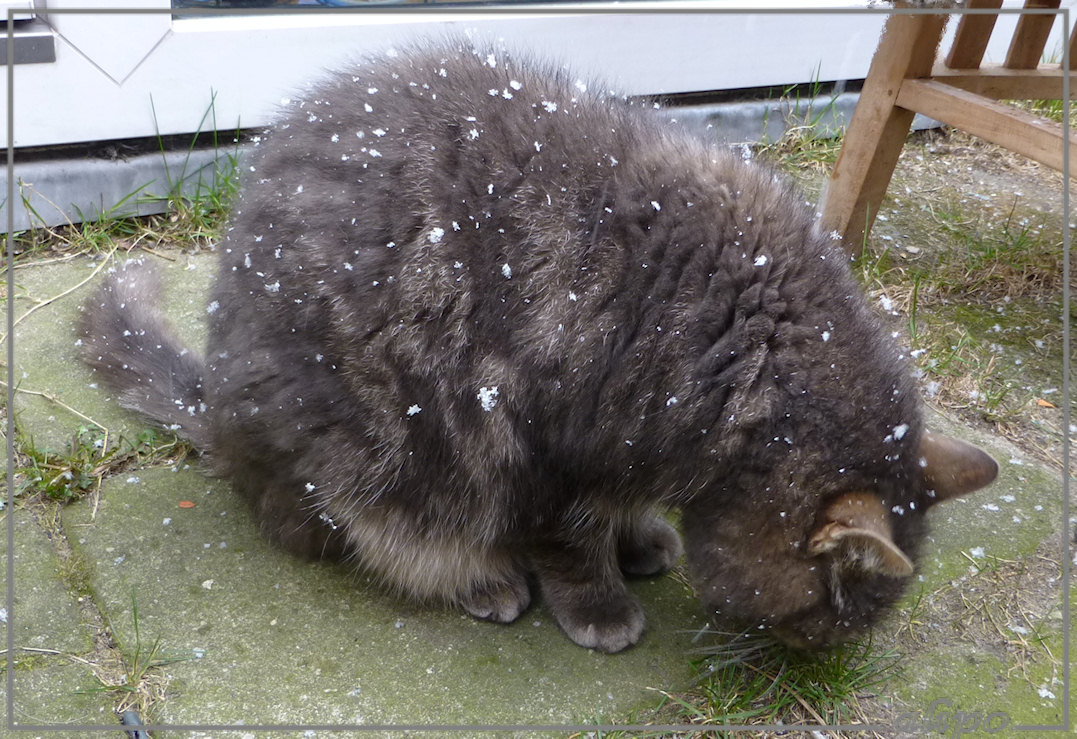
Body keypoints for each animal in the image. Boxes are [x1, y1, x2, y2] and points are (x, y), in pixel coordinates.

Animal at [79, 43, 995, 654]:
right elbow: (569, 540)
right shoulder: (551, 448)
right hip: (376, 463)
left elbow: (622, 511)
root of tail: (219, 413)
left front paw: (642, 542)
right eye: (826, 612)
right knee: (377, 536)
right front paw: (599, 602)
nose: (821, 662)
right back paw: (483, 576)